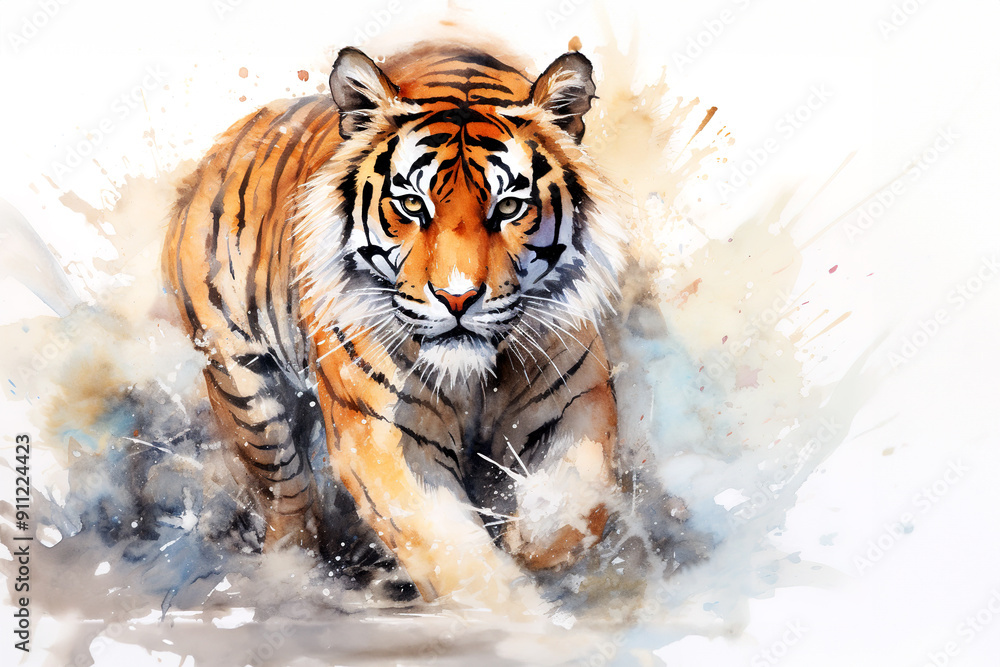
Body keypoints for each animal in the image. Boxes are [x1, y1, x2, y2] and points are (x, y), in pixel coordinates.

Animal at [163, 41, 628, 604]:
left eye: (510, 207)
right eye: (410, 204)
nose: (457, 298)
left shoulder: (577, 396)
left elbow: (572, 507)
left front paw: (523, 538)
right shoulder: (383, 434)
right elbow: (458, 557)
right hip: (241, 381)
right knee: (285, 496)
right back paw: (291, 576)